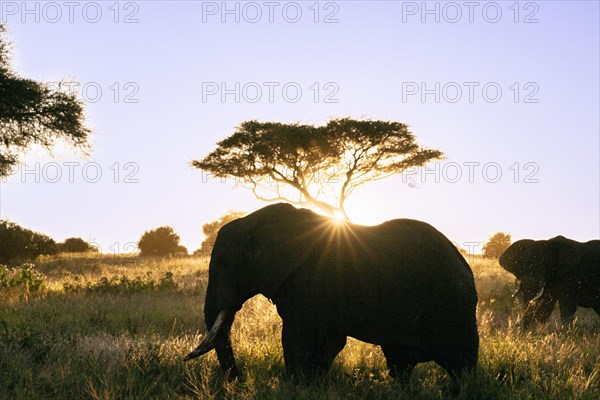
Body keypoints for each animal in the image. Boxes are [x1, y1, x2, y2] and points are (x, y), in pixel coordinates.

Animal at [185, 203, 480, 388]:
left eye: (223, 264)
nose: (239, 383)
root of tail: (464, 264)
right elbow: (328, 342)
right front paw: (312, 386)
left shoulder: (312, 277)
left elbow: (299, 339)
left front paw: (296, 389)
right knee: (400, 362)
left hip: (449, 302)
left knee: (459, 363)